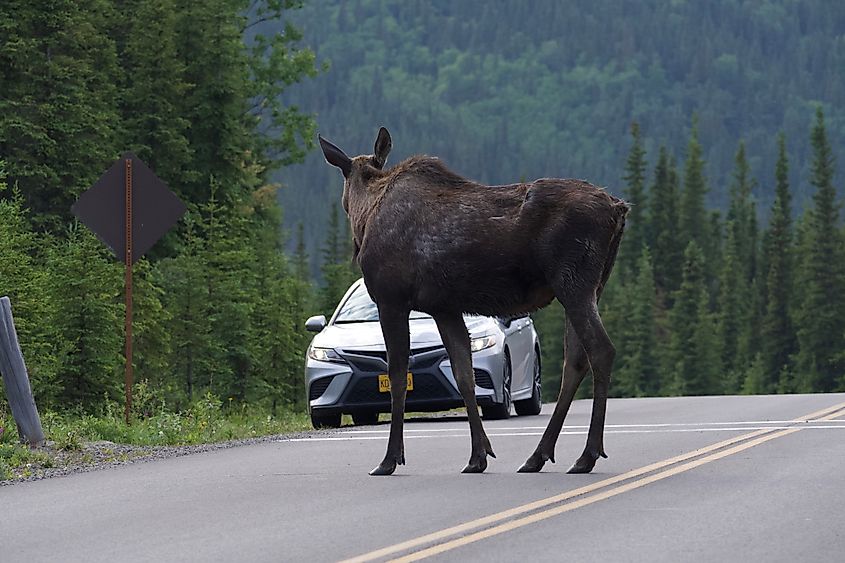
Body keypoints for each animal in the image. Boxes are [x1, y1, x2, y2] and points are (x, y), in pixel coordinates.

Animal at [319, 127, 628, 476]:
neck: (365, 214)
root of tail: (618, 209)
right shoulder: (444, 308)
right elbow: (464, 375)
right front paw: (478, 456)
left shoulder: (391, 299)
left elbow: (397, 377)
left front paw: (389, 459)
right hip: (590, 287)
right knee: (575, 360)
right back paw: (538, 455)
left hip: (574, 284)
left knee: (600, 350)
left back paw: (587, 454)